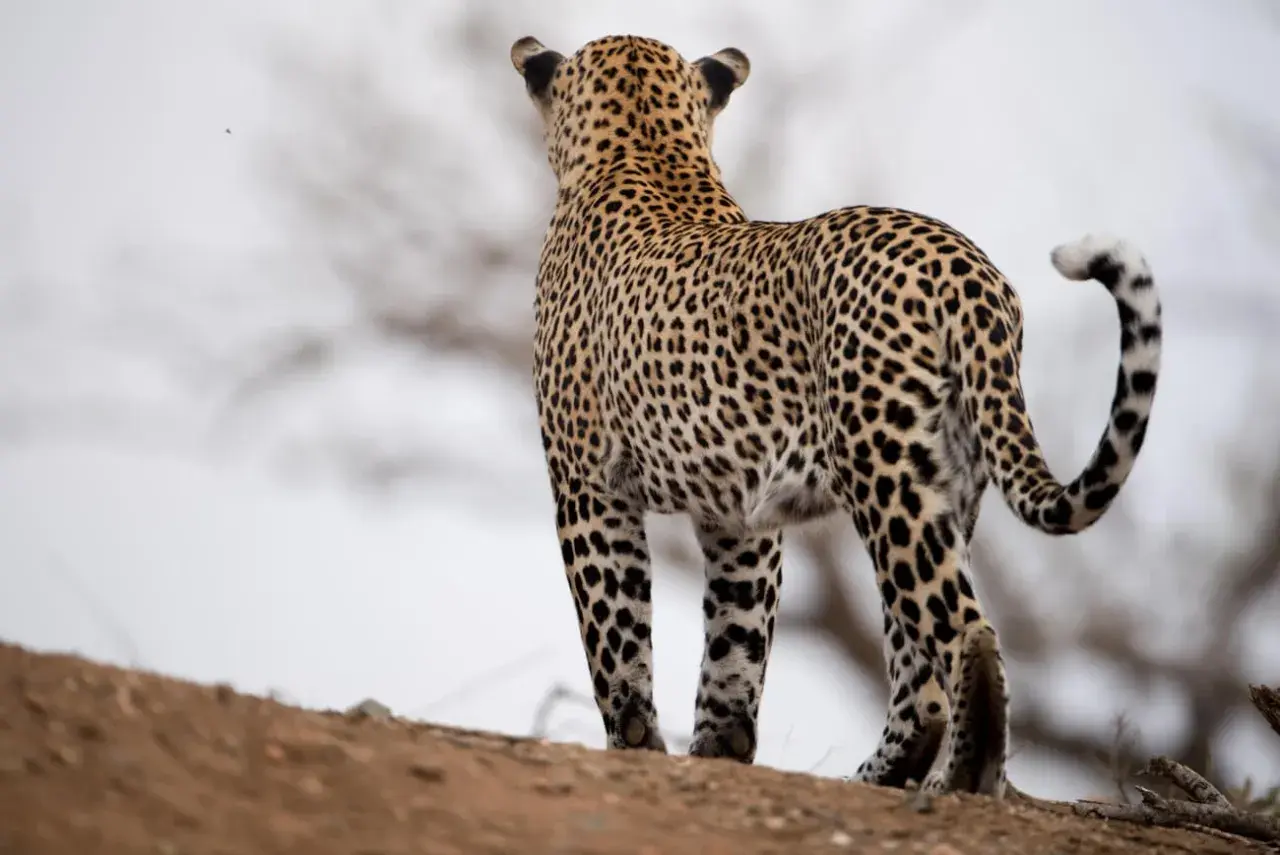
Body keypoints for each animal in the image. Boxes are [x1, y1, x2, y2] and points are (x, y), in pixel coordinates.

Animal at [508, 33, 1162, 797]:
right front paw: (720, 748)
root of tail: (965, 267)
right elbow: (735, 638)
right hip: (948, 481)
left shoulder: (586, 488)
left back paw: (959, 781)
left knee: (964, 635)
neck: (647, 147)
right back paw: (887, 776)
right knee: (920, 670)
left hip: (882, 471)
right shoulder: (739, 515)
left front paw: (634, 743)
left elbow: (614, 628)